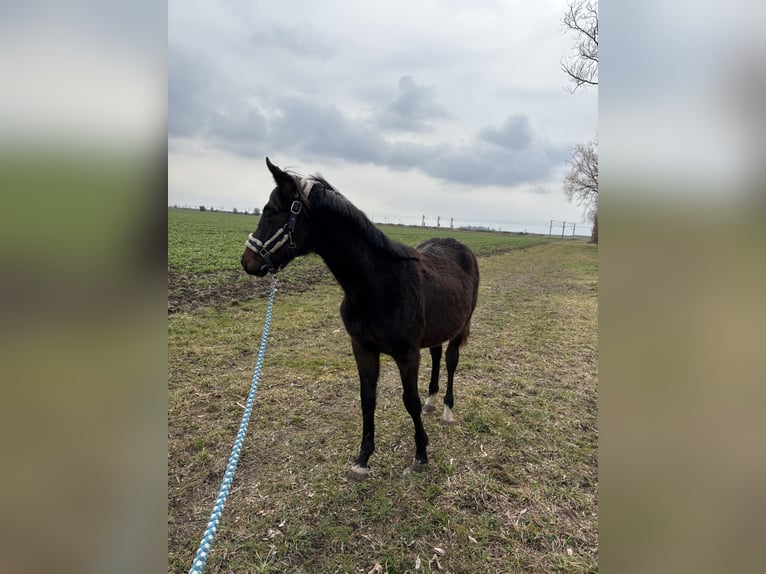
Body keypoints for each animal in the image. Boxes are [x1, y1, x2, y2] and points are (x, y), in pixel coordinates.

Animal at [241, 158, 480, 481]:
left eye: (269, 211)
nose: (247, 261)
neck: (375, 285)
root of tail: (460, 246)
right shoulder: (362, 348)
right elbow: (368, 399)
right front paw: (362, 459)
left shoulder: (407, 354)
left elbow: (410, 401)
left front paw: (420, 453)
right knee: (436, 354)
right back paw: (433, 401)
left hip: (461, 327)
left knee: (452, 361)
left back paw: (446, 410)